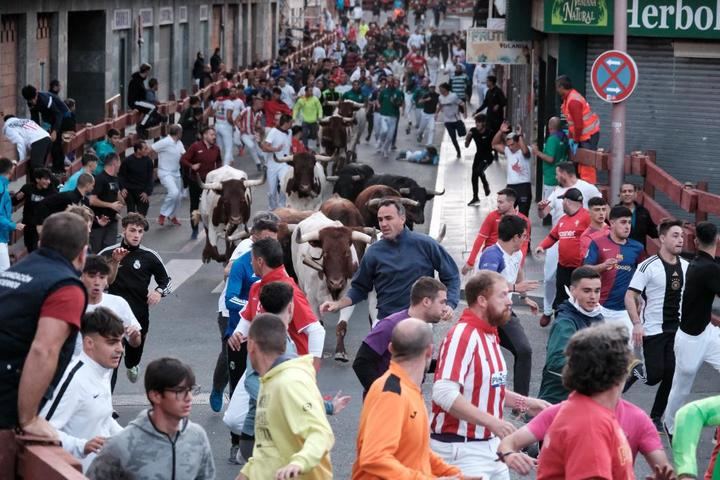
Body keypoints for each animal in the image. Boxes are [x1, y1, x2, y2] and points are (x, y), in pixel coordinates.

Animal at [292, 212, 374, 362]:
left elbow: (341, 326)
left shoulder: (348, 297)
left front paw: (341, 352)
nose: (336, 282)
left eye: (346, 252)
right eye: (325, 253)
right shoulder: (312, 300)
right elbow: (318, 324)